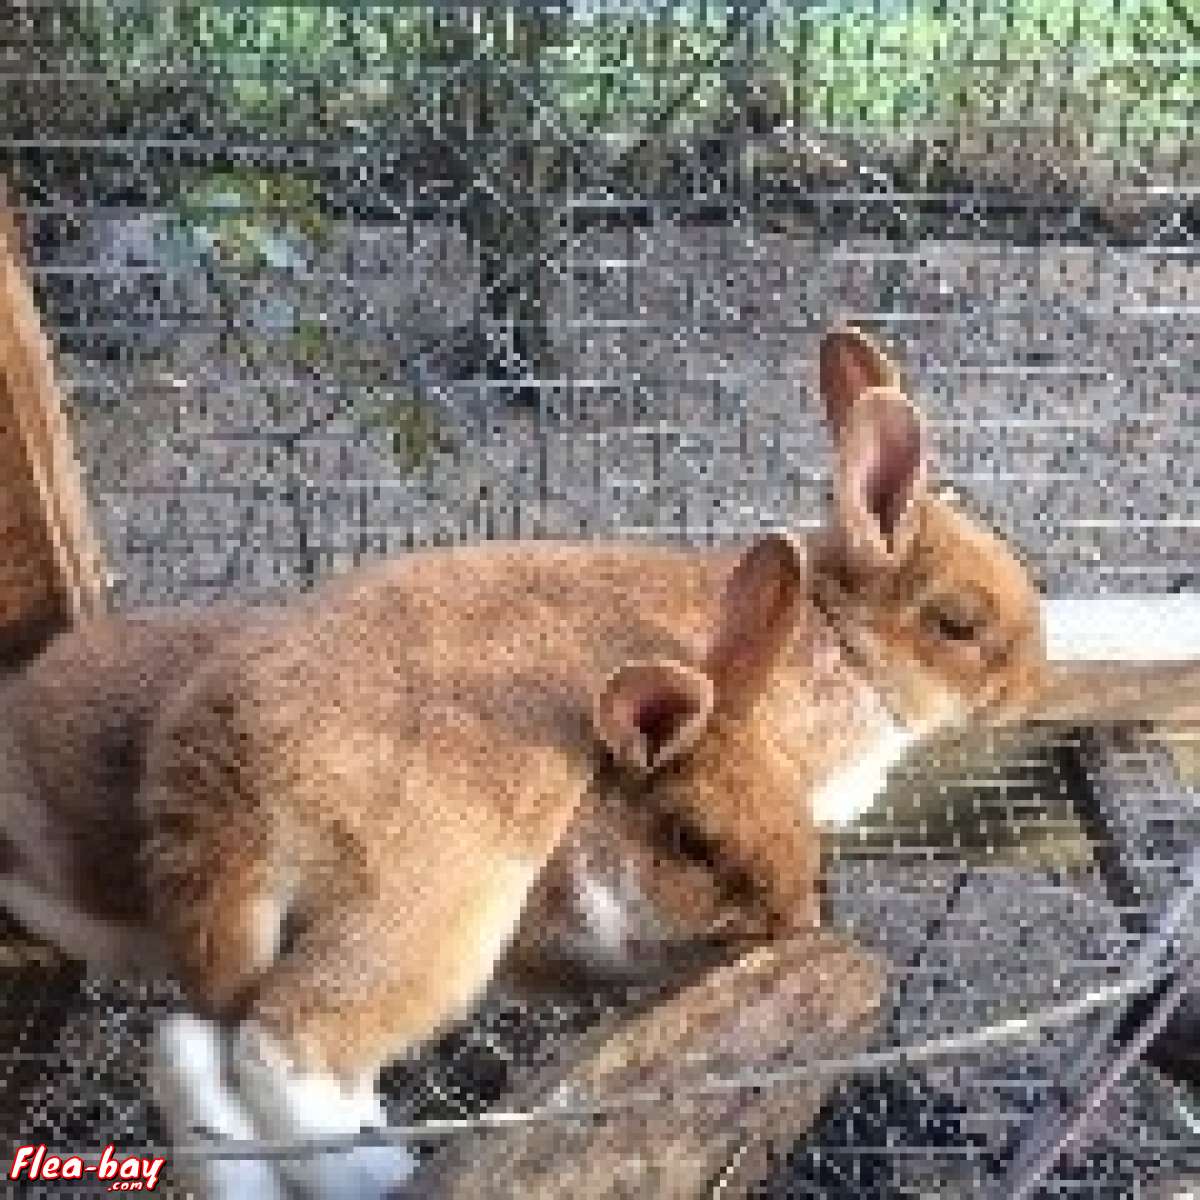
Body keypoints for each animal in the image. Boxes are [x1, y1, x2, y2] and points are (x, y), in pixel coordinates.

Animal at [0, 326, 1046, 1200]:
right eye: (961, 623)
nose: (1033, 677)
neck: (835, 635)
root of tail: (216, 777)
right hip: (436, 909)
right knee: (290, 1046)